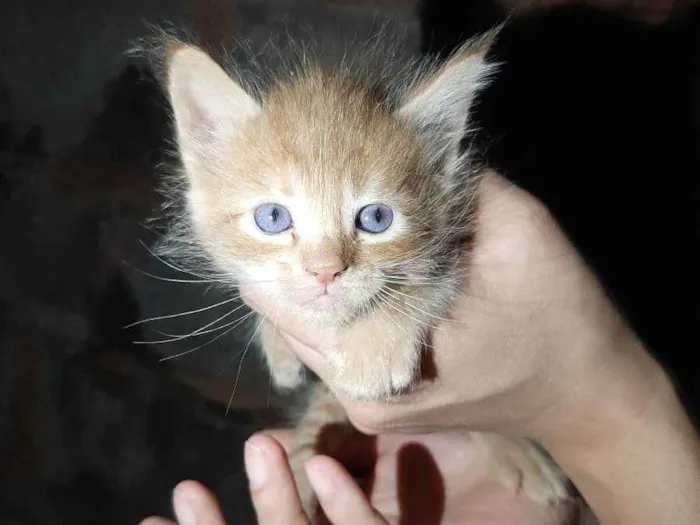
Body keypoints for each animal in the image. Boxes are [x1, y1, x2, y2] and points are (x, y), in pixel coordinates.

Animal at [153, 30, 568, 512]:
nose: (325, 271)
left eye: (376, 219)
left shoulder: (462, 238)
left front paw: (373, 347)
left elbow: (431, 283)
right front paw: (278, 346)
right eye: (272, 218)